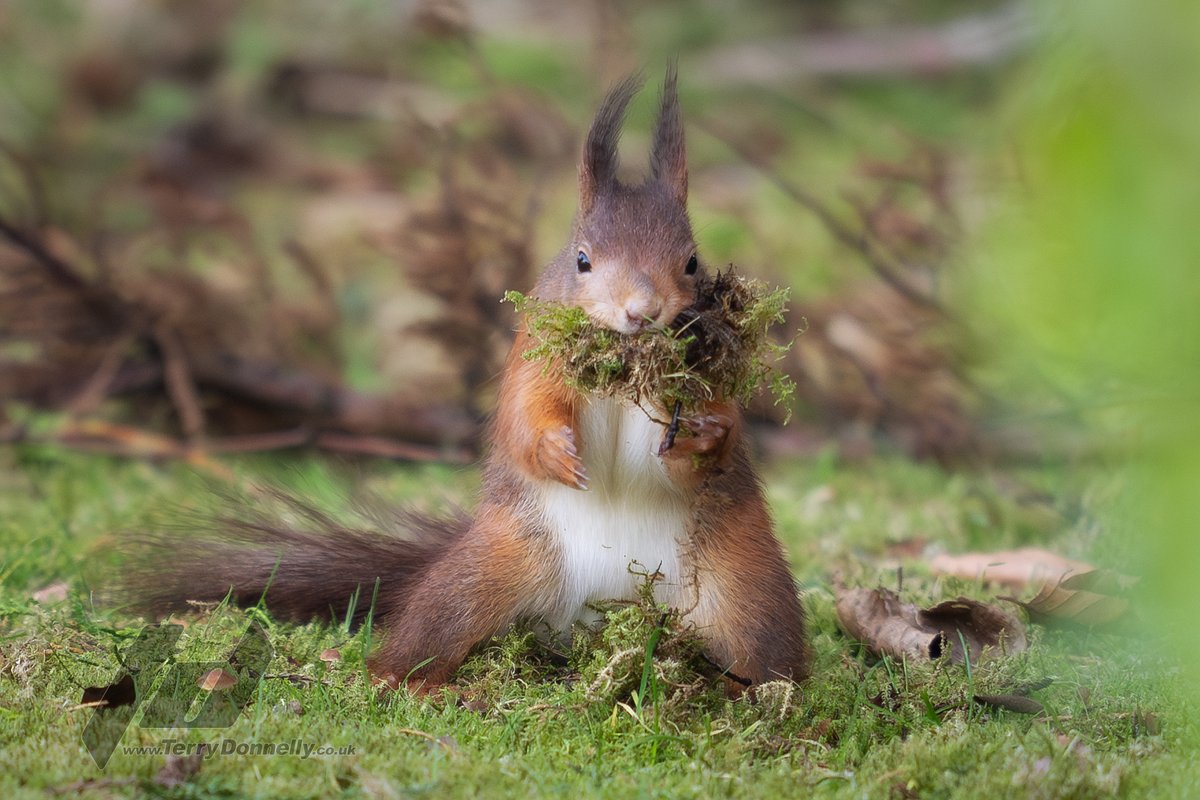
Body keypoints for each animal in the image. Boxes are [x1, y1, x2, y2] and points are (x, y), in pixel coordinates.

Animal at [122, 69, 810, 693]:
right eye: (582, 259)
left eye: (691, 262)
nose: (641, 312)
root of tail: (600, 617)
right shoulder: (531, 359)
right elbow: (522, 418)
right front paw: (555, 452)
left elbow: (707, 446)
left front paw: (706, 435)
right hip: (486, 573)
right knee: (429, 633)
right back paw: (411, 681)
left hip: (745, 587)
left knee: (768, 655)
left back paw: (763, 699)